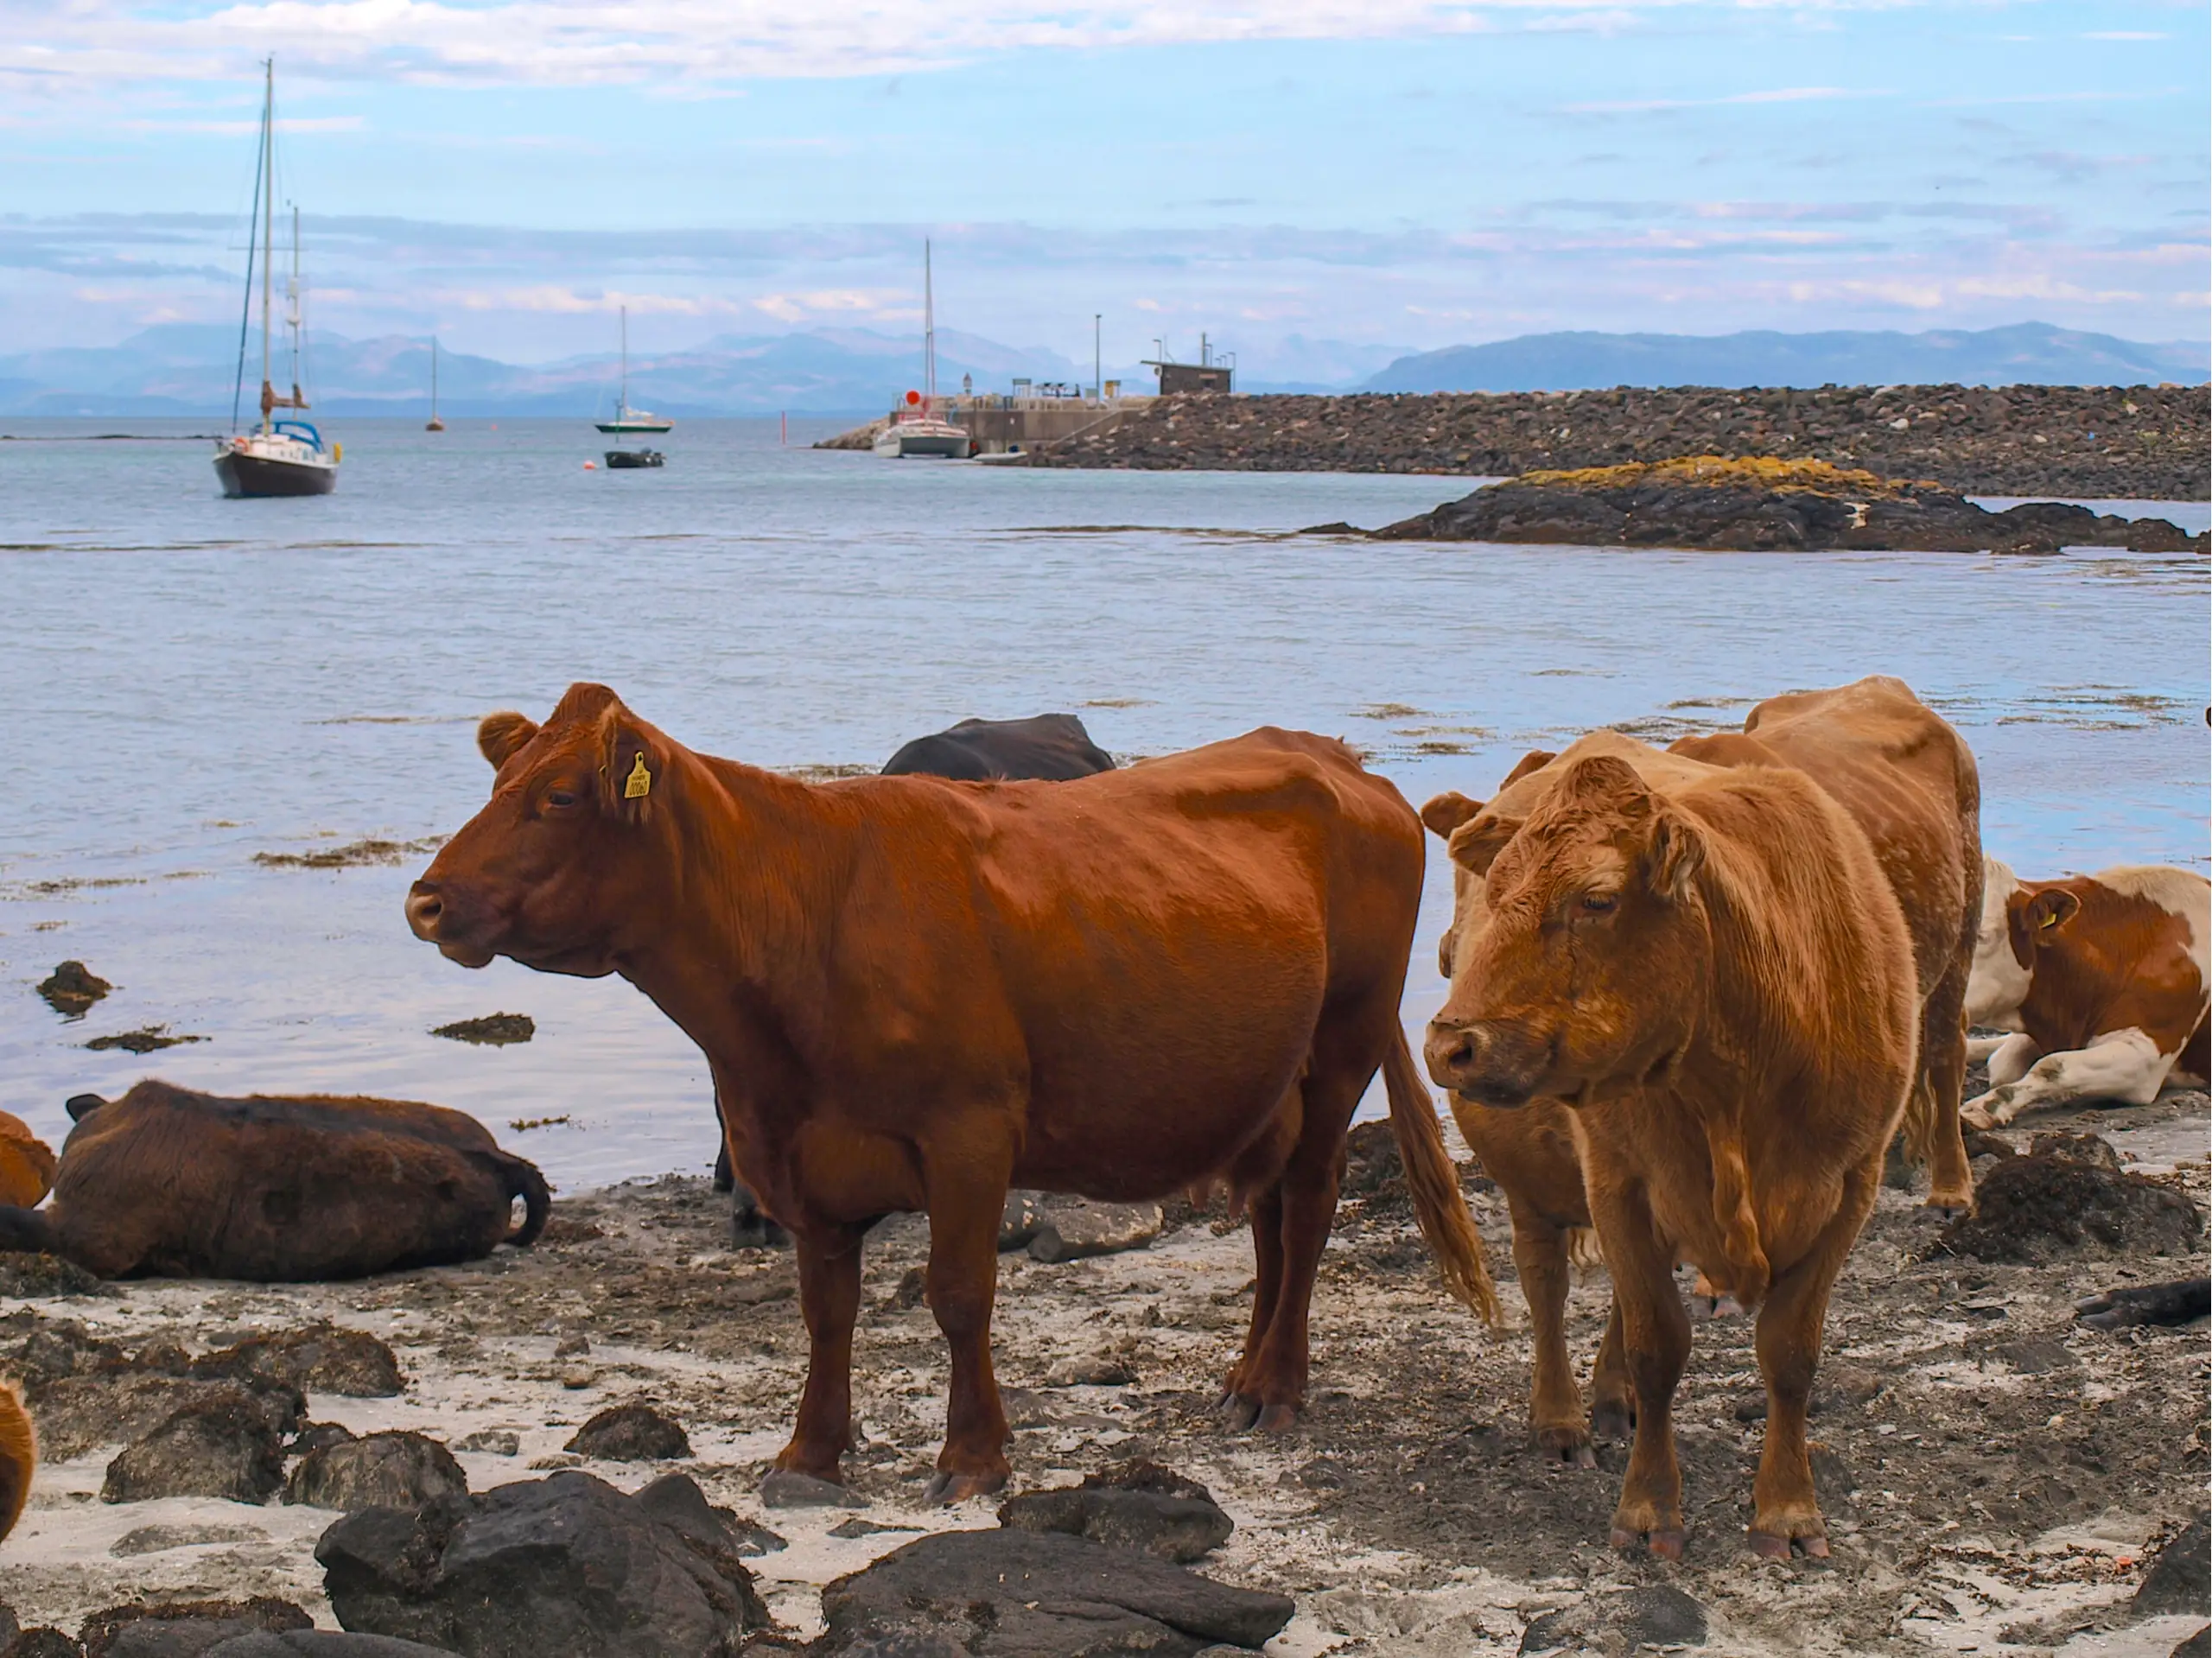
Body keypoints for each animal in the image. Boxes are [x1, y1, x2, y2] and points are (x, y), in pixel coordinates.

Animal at [1424, 740, 1919, 1559]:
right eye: (1496, 891)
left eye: (1596, 899)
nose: (1450, 1044)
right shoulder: (1618, 1180)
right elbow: (1658, 1345)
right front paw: (1650, 1509)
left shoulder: (1854, 1182)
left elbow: (1790, 1352)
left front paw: (1788, 1510)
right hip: (1536, 1186)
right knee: (1545, 1282)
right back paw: (1560, 1418)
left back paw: (1609, 1397)